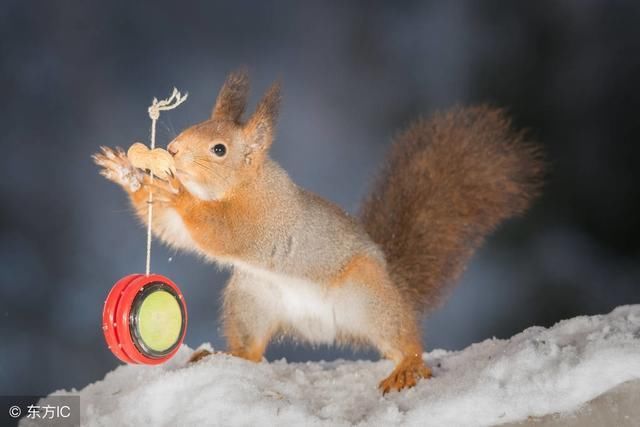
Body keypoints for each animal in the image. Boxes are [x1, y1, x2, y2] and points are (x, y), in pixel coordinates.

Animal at [94, 70, 540, 394]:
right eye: (195, 124)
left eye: (219, 149)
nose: (170, 150)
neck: (244, 185)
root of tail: (322, 329)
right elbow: (173, 231)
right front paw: (129, 174)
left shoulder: (263, 220)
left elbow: (220, 230)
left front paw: (171, 190)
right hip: (252, 300)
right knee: (252, 352)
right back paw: (226, 357)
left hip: (371, 298)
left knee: (406, 339)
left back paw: (407, 367)